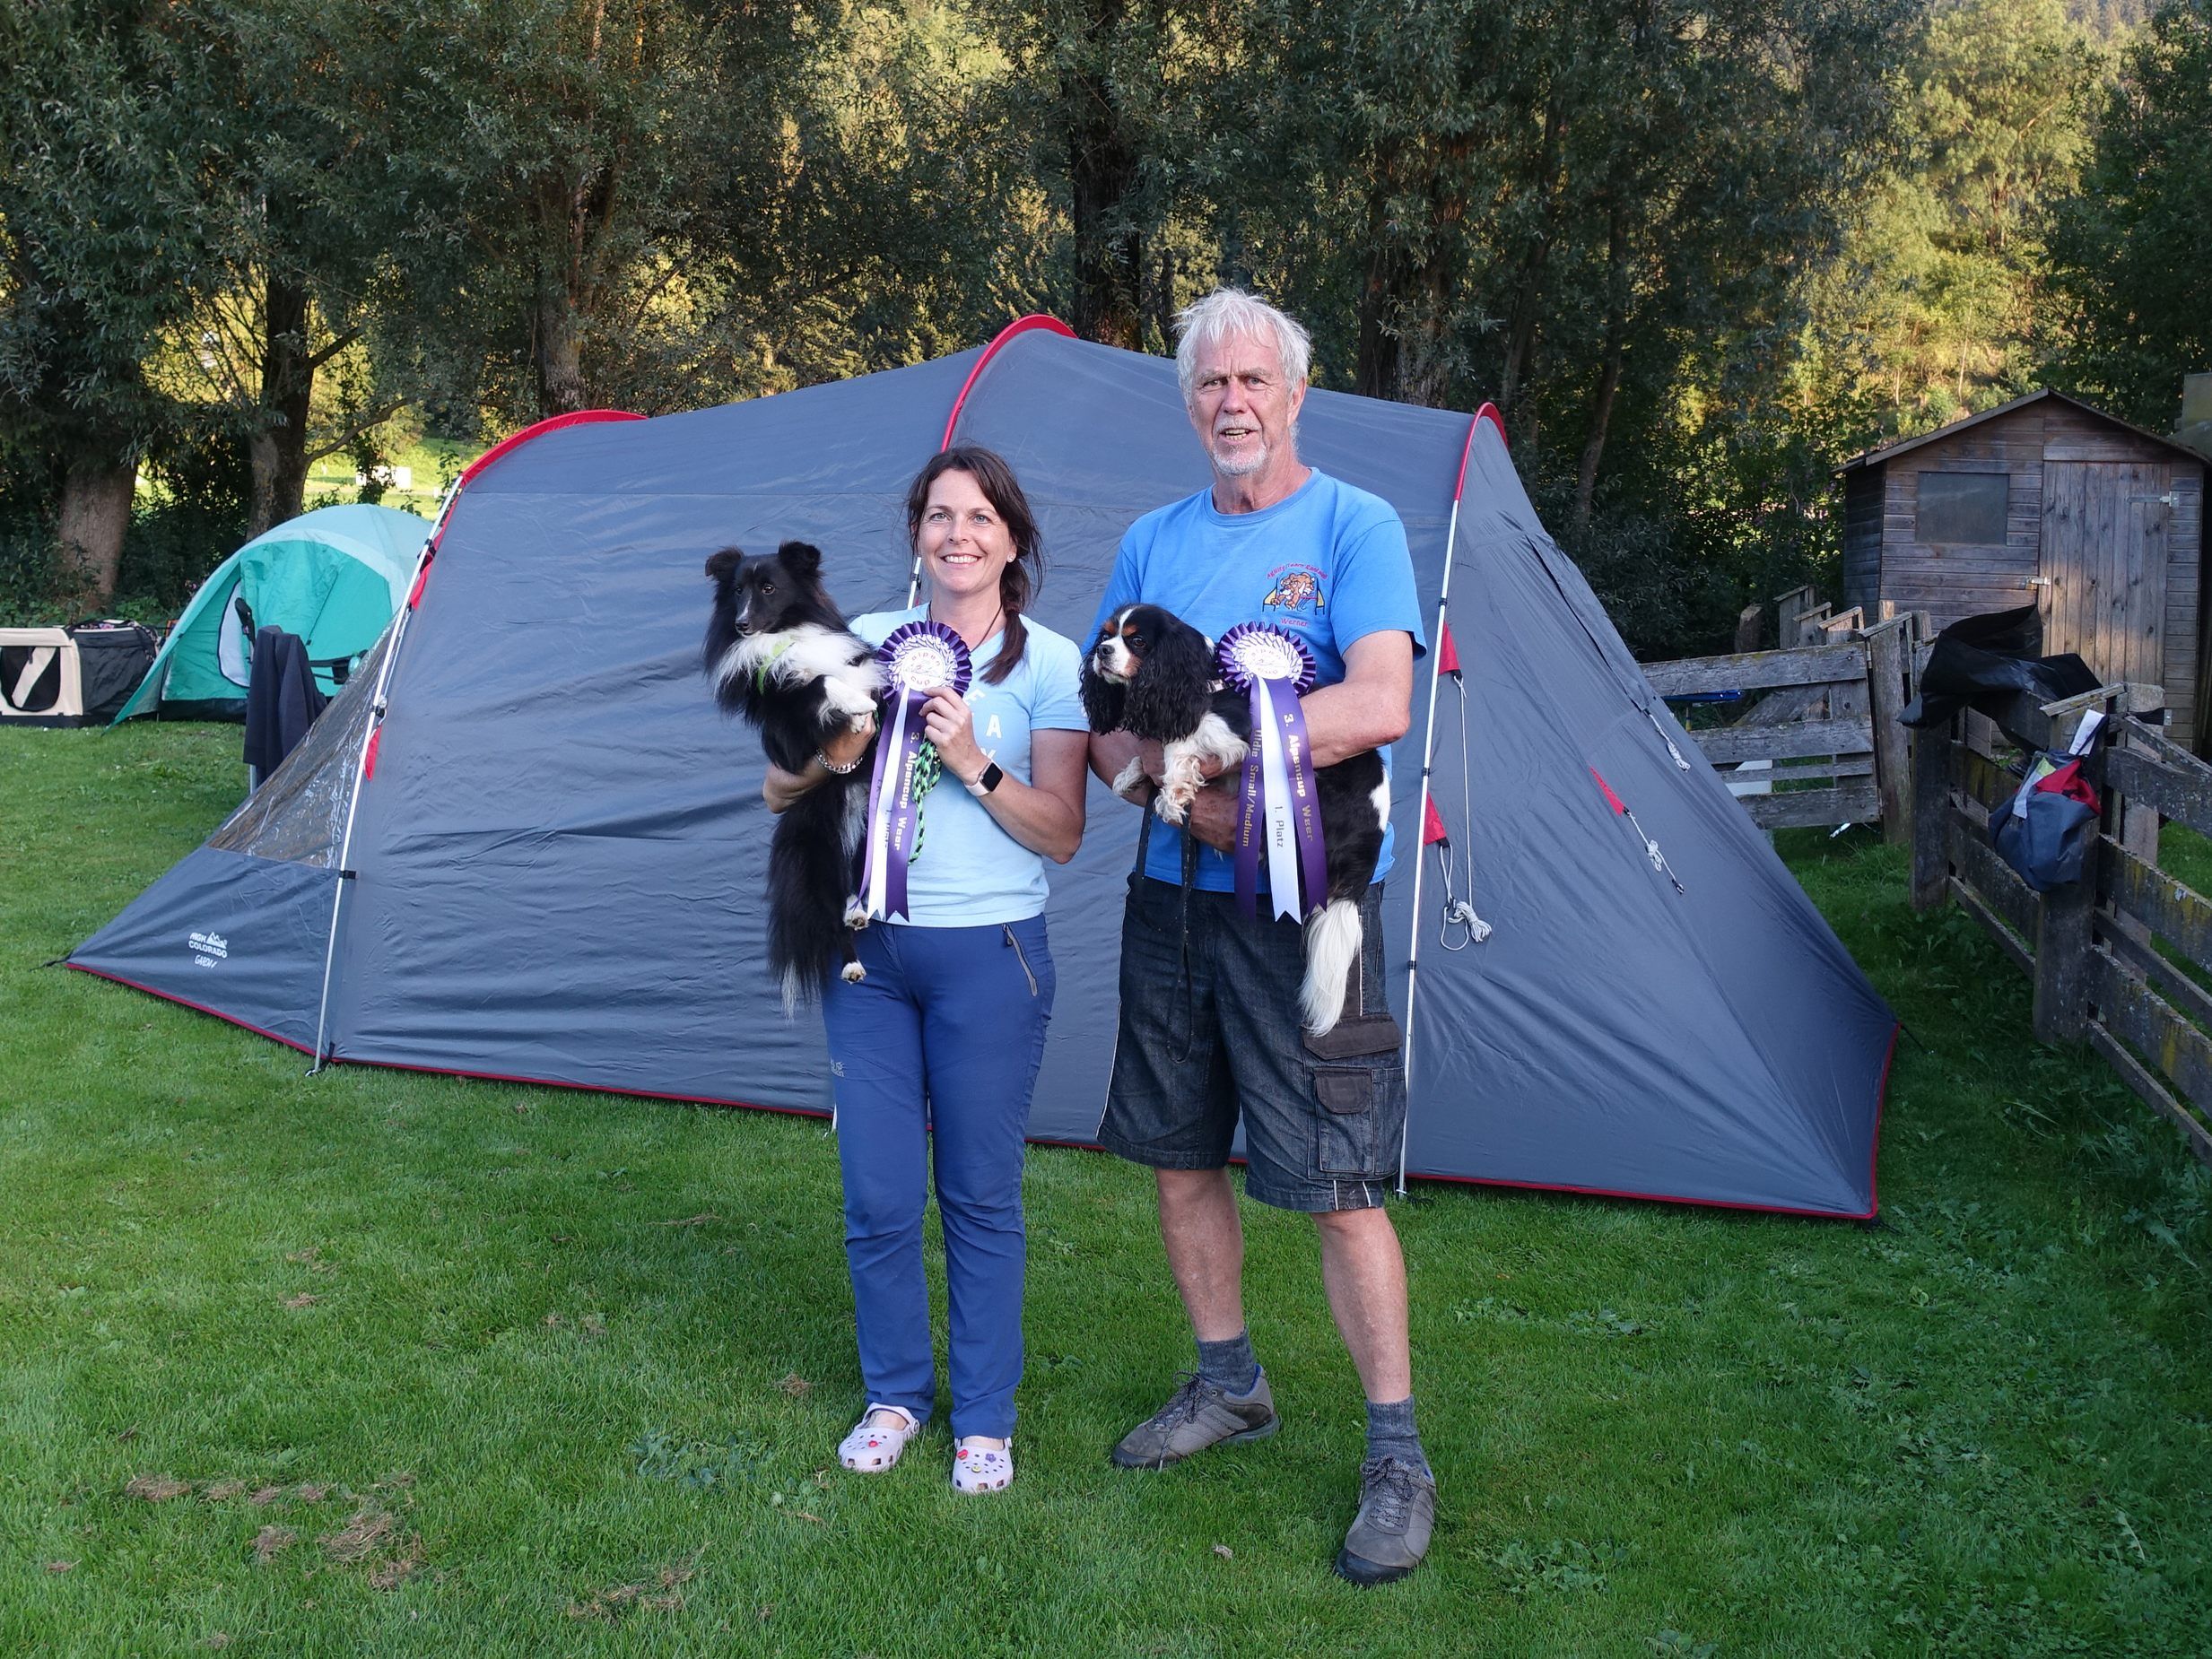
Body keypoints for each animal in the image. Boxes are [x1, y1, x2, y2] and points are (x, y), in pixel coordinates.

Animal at [708, 546, 880, 1008]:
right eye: (737, 590)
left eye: (769, 588)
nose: (741, 624)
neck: (786, 636)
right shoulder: (788, 735)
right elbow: (821, 681)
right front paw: (857, 707)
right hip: (814, 854)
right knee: (830, 912)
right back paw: (852, 963)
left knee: (857, 882)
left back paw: (859, 910)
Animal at [1084, 597, 1380, 1039]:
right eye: (1106, 635)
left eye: (1136, 641)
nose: (1102, 652)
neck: (1197, 681)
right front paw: (1135, 773)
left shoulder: (1233, 731)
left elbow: (1179, 744)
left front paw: (1171, 794)